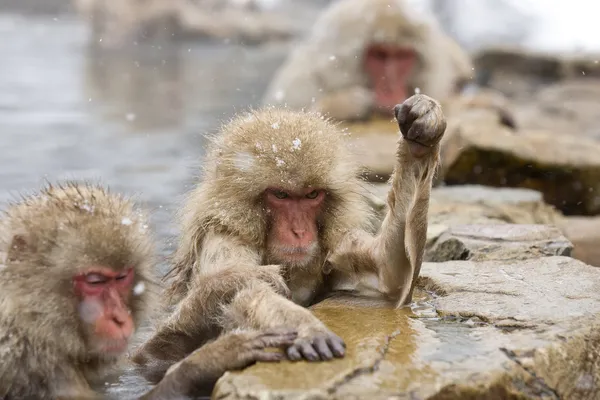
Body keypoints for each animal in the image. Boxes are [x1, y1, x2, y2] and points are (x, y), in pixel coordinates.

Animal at [0, 184, 298, 400]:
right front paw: (213, 358)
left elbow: (142, 363)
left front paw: (220, 287)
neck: (30, 319)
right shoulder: (30, 362)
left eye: (122, 277)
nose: (120, 318)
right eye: (95, 281)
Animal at [134, 94, 446, 376]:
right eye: (281, 195)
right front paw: (304, 326)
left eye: (311, 195)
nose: (299, 231)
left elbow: (389, 276)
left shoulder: (335, 247)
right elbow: (248, 289)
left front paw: (423, 135)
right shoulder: (225, 237)